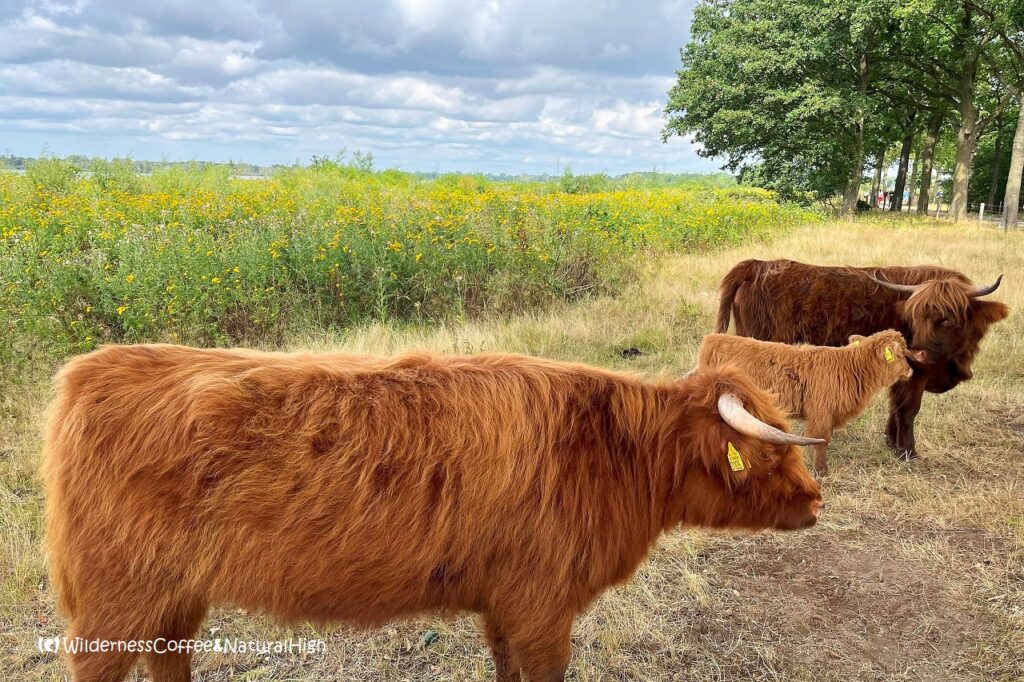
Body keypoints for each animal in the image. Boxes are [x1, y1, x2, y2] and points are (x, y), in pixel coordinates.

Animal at [44, 344, 823, 682]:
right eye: (770, 454)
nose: (817, 502)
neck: (614, 453)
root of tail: (89, 370)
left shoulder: (506, 606)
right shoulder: (543, 608)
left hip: (172, 596)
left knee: (168, 656)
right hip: (114, 599)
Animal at [695, 330, 927, 474]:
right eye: (900, 355)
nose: (911, 372)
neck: (851, 367)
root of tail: (712, 339)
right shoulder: (821, 413)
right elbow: (822, 440)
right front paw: (822, 471)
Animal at [715, 259, 1008, 459]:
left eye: (945, 319)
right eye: (914, 317)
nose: (918, 353)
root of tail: (757, 264)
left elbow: (896, 407)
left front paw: (892, 443)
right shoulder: (917, 375)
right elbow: (908, 409)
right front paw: (909, 452)